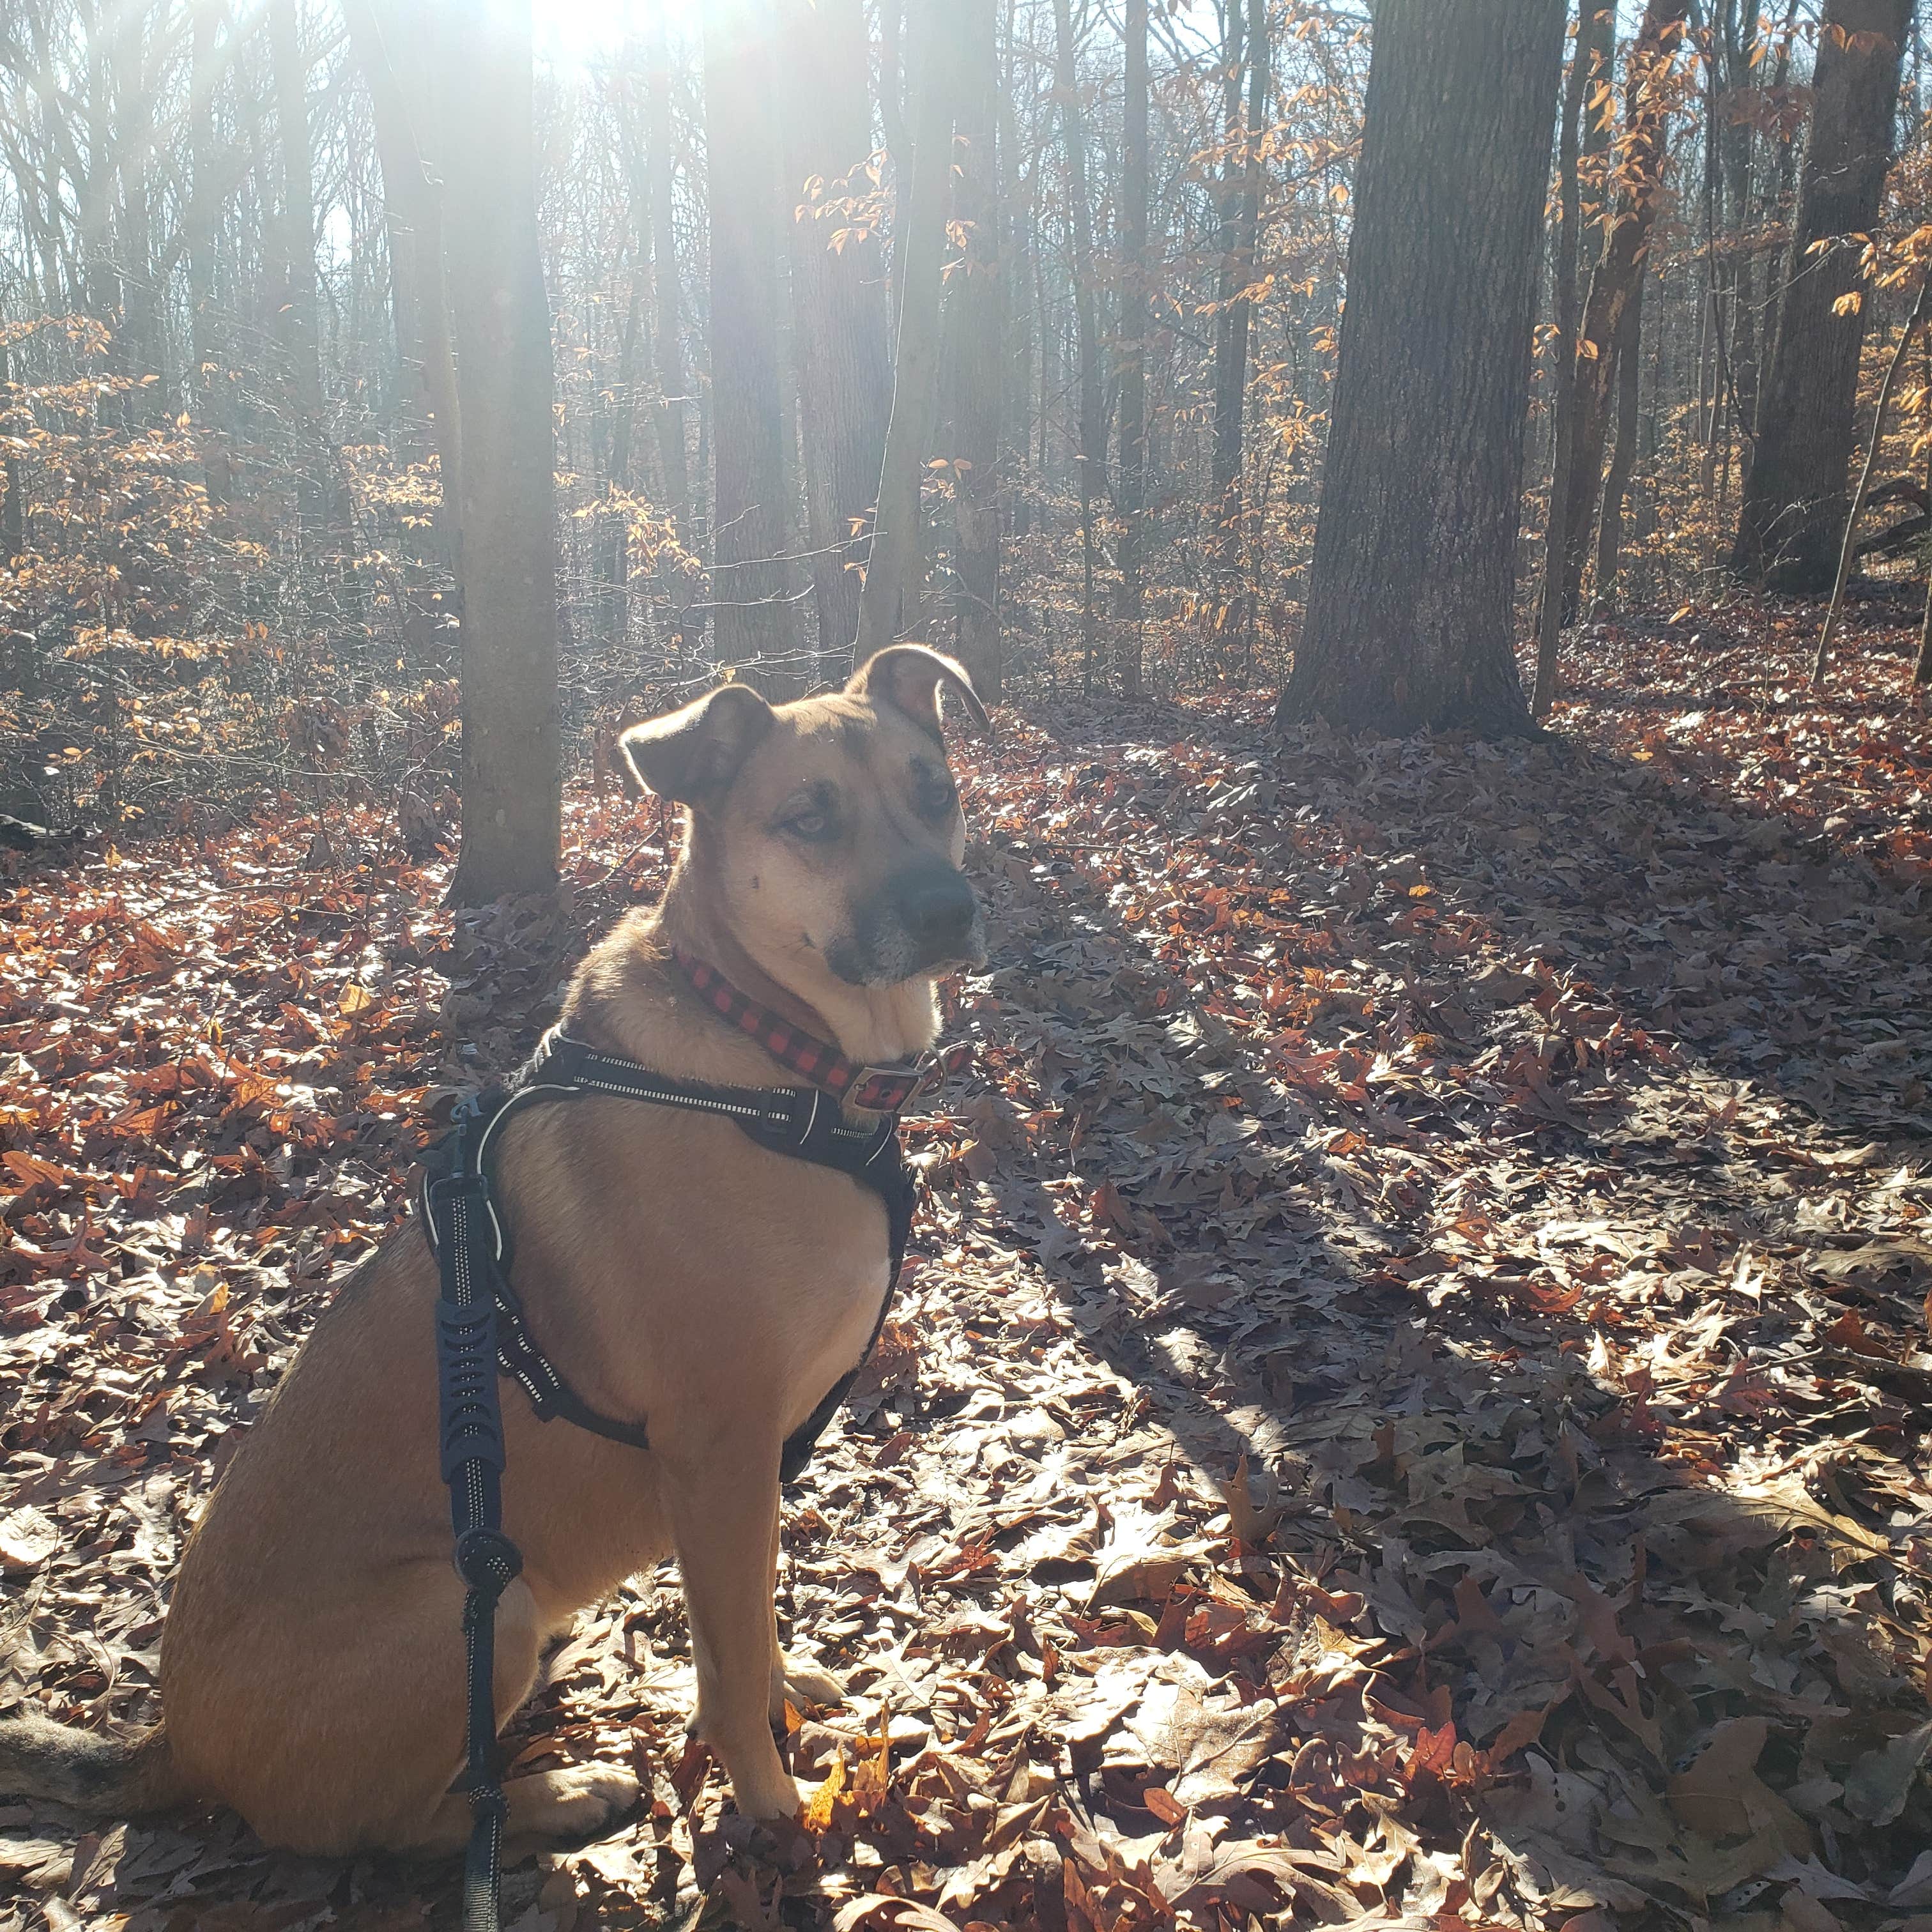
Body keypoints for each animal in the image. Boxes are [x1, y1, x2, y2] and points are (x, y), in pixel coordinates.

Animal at [0, 645, 989, 1855]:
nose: (947, 910)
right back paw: (555, 1794)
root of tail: (174, 1741)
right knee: (398, 1829)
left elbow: (746, 1626)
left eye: (934, 791)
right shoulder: (717, 1448)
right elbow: (725, 1665)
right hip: (481, 1604)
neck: (775, 1058)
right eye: (810, 817)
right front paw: (774, 1812)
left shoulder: (744, 1472)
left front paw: (782, 1688)